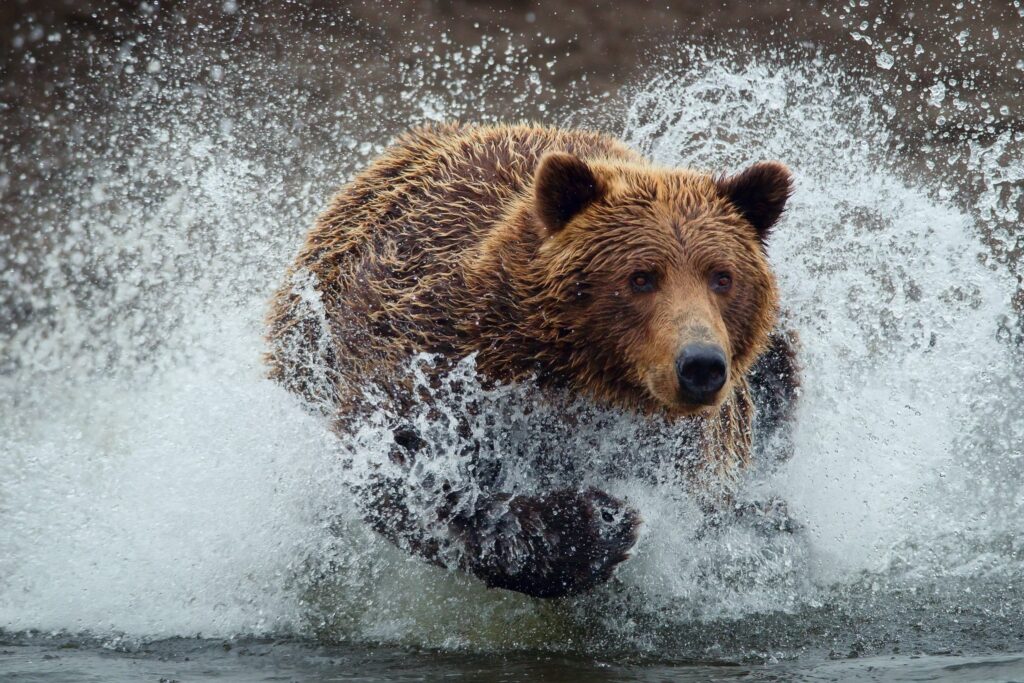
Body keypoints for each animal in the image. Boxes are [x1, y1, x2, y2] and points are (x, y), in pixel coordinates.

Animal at [266, 122, 797, 599]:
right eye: (641, 277)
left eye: (722, 276)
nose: (700, 365)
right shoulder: (433, 351)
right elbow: (407, 467)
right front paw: (596, 522)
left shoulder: (688, 442)